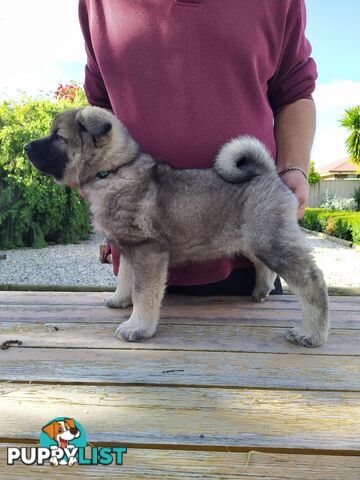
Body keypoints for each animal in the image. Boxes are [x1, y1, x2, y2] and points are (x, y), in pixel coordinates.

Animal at [25, 106, 330, 344]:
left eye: (58, 137)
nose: (26, 147)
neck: (113, 171)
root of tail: (267, 174)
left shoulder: (148, 251)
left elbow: (144, 292)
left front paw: (137, 327)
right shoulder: (128, 248)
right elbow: (125, 277)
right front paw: (119, 300)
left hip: (272, 241)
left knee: (312, 282)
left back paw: (311, 333)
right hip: (253, 239)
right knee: (262, 264)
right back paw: (261, 291)